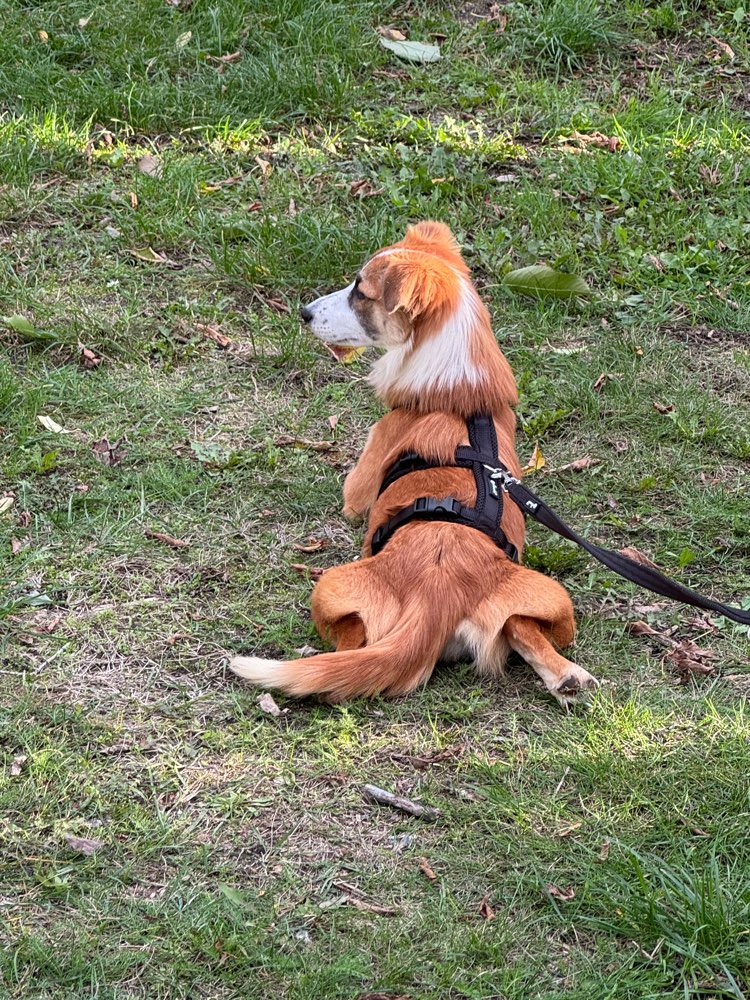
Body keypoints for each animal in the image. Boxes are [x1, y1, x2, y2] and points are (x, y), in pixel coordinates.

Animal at [229, 223, 600, 708]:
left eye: (361, 291)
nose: (303, 313)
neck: (459, 395)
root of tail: (435, 596)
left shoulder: (367, 467)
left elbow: (353, 499)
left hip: (328, 589)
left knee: (352, 644)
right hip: (554, 603)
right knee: (523, 632)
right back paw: (568, 678)